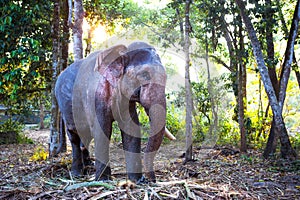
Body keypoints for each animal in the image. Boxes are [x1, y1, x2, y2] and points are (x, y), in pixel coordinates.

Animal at [54, 41, 172, 182]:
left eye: (166, 77)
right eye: (144, 75)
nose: (152, 180)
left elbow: (131, 129)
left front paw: (137, 180)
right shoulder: (95, 97)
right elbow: (102, 130)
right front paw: (103, 180)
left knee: (85, 136)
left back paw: (89, 166)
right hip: (65, 105)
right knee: (74, 134)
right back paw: (77, 174)